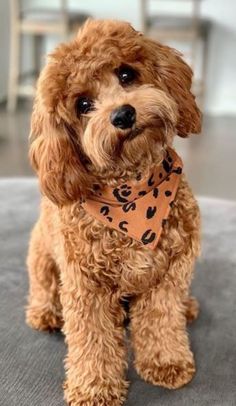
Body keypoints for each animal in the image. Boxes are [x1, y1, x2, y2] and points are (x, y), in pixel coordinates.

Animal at [26, 19, 202, 406]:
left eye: (126, 74)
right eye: (83, 104)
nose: (123, 114)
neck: (132, 197)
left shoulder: (170, 273)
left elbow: (161, 319)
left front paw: (166, 363)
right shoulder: (84, 285)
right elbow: (92, 340)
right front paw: (94, 388)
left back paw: (188, 307)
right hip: (41, 255)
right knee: (43, 286)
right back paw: (45, 312)